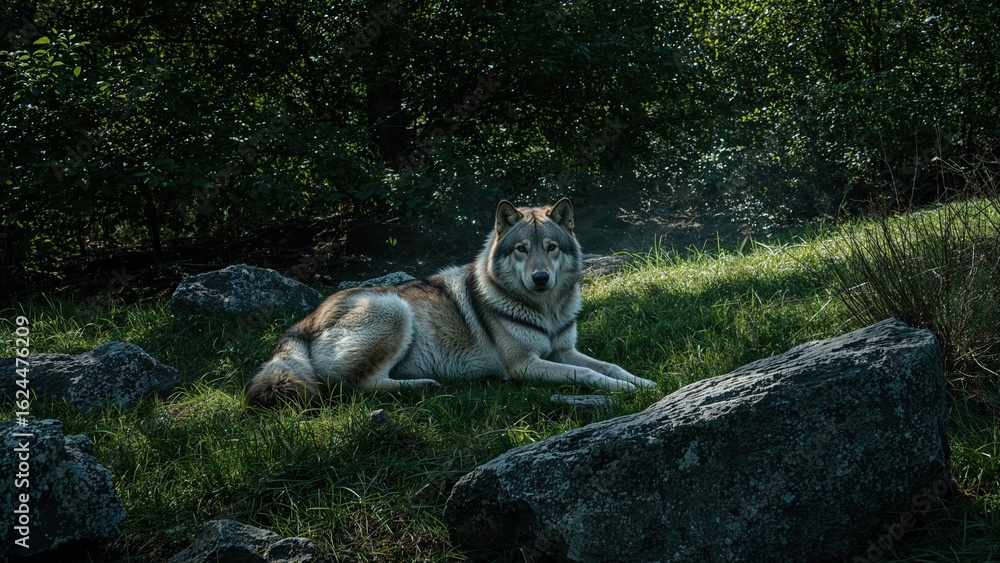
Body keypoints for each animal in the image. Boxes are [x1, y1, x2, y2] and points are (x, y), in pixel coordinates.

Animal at [245, 198, 656, 407]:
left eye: (551, 248)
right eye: (522, 249)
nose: (541, 278)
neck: (546, 310)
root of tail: (303, 323)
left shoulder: (563, 350)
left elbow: (611, 366)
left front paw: (643, 382)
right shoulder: (524, 365)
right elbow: (588, 375)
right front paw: (624, 390)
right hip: (394, 310)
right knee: (354, 387)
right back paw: (424, 385)